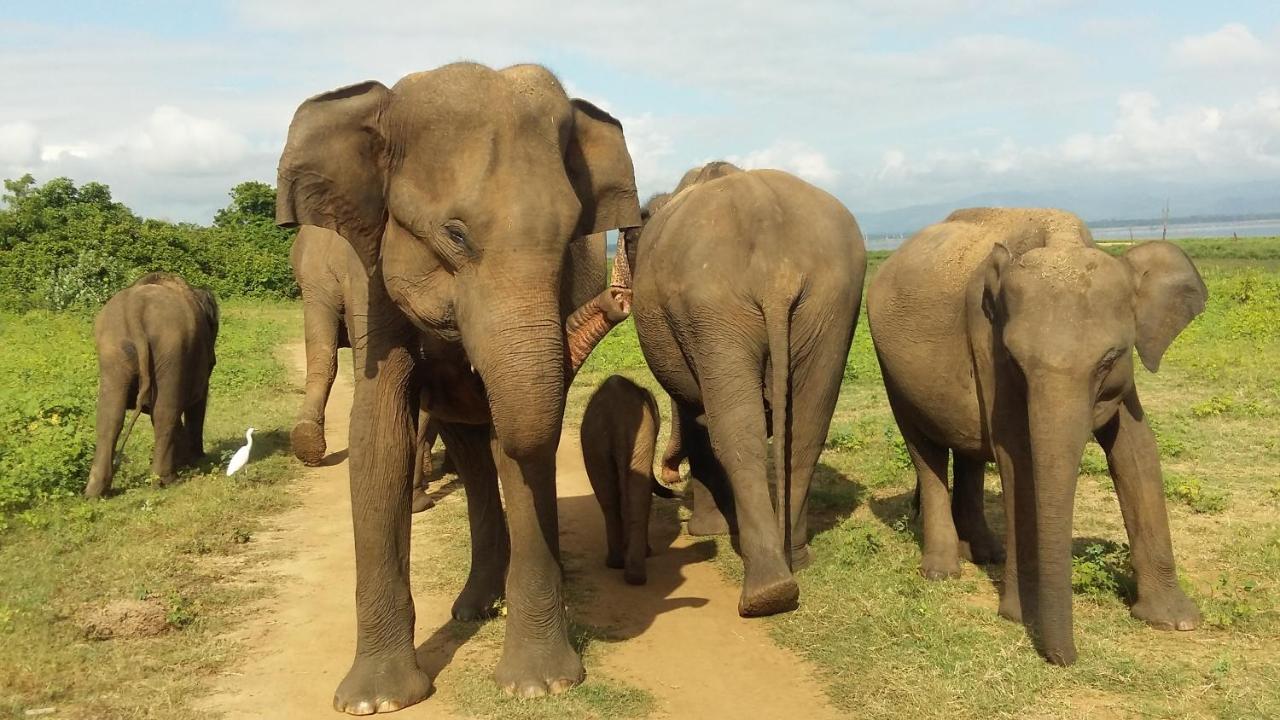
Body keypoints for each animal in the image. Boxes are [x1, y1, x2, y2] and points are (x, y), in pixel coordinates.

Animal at [85, 271, 220, 497]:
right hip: (171, 348)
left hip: (113, 350)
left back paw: (95, 492)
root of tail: (135, 309)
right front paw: (196, 460)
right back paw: (165, 481)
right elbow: (197, 401)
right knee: (165, 412)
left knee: (110, 415)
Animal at [276, 63, 645, 712]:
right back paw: (474, 607)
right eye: (455, 235)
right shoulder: (370, 275)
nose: (620, 296)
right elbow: (379, 431)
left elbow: (522, 445)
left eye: (571, 236)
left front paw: (540, 684)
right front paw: (374, 701)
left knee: (486, 447)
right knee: (472, 455)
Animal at [583, 376, 680, 584]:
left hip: (594, 443)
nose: (673, 482)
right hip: (639, 437)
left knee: (608, 500)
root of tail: (615, 417)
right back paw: (637, 573)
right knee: (638, 494)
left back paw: (617, 564)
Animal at [632, 159, 870, 614]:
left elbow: (696, 415)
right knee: (806, 432)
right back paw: (791, 563)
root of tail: (776, 272)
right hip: (830, 304)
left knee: (737, 437)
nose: (669, 475)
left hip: (713, 307)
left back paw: (766, 593)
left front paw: (707, 531)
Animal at [865, 206, 1203, 661]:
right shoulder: (986, 338)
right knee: (924, 448)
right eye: (1015, 359)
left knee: (969, 450)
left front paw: (1176, 620)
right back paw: (942, 571)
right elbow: (1017, 453)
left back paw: (985, 554)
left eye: (1109, 358)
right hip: (890, 367)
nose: (1069, 659)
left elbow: (1137, 450)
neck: (1063, 239)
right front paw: (1020, 615)